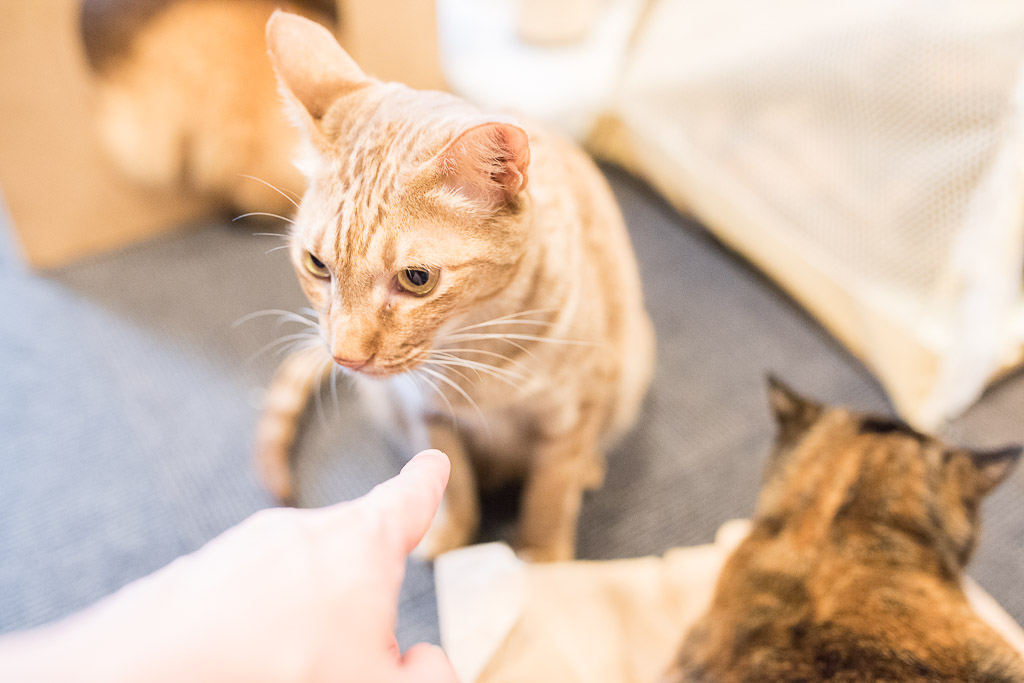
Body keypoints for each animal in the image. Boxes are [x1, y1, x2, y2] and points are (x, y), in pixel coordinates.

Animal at [258, 13, 655, 565]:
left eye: (417, 279)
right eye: (317, 265)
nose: (345, 357)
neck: (476, 356)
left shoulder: (573, 411)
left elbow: (549, 494)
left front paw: (541, 559)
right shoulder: (426, 414)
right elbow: (454, 480)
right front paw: (447, 533)